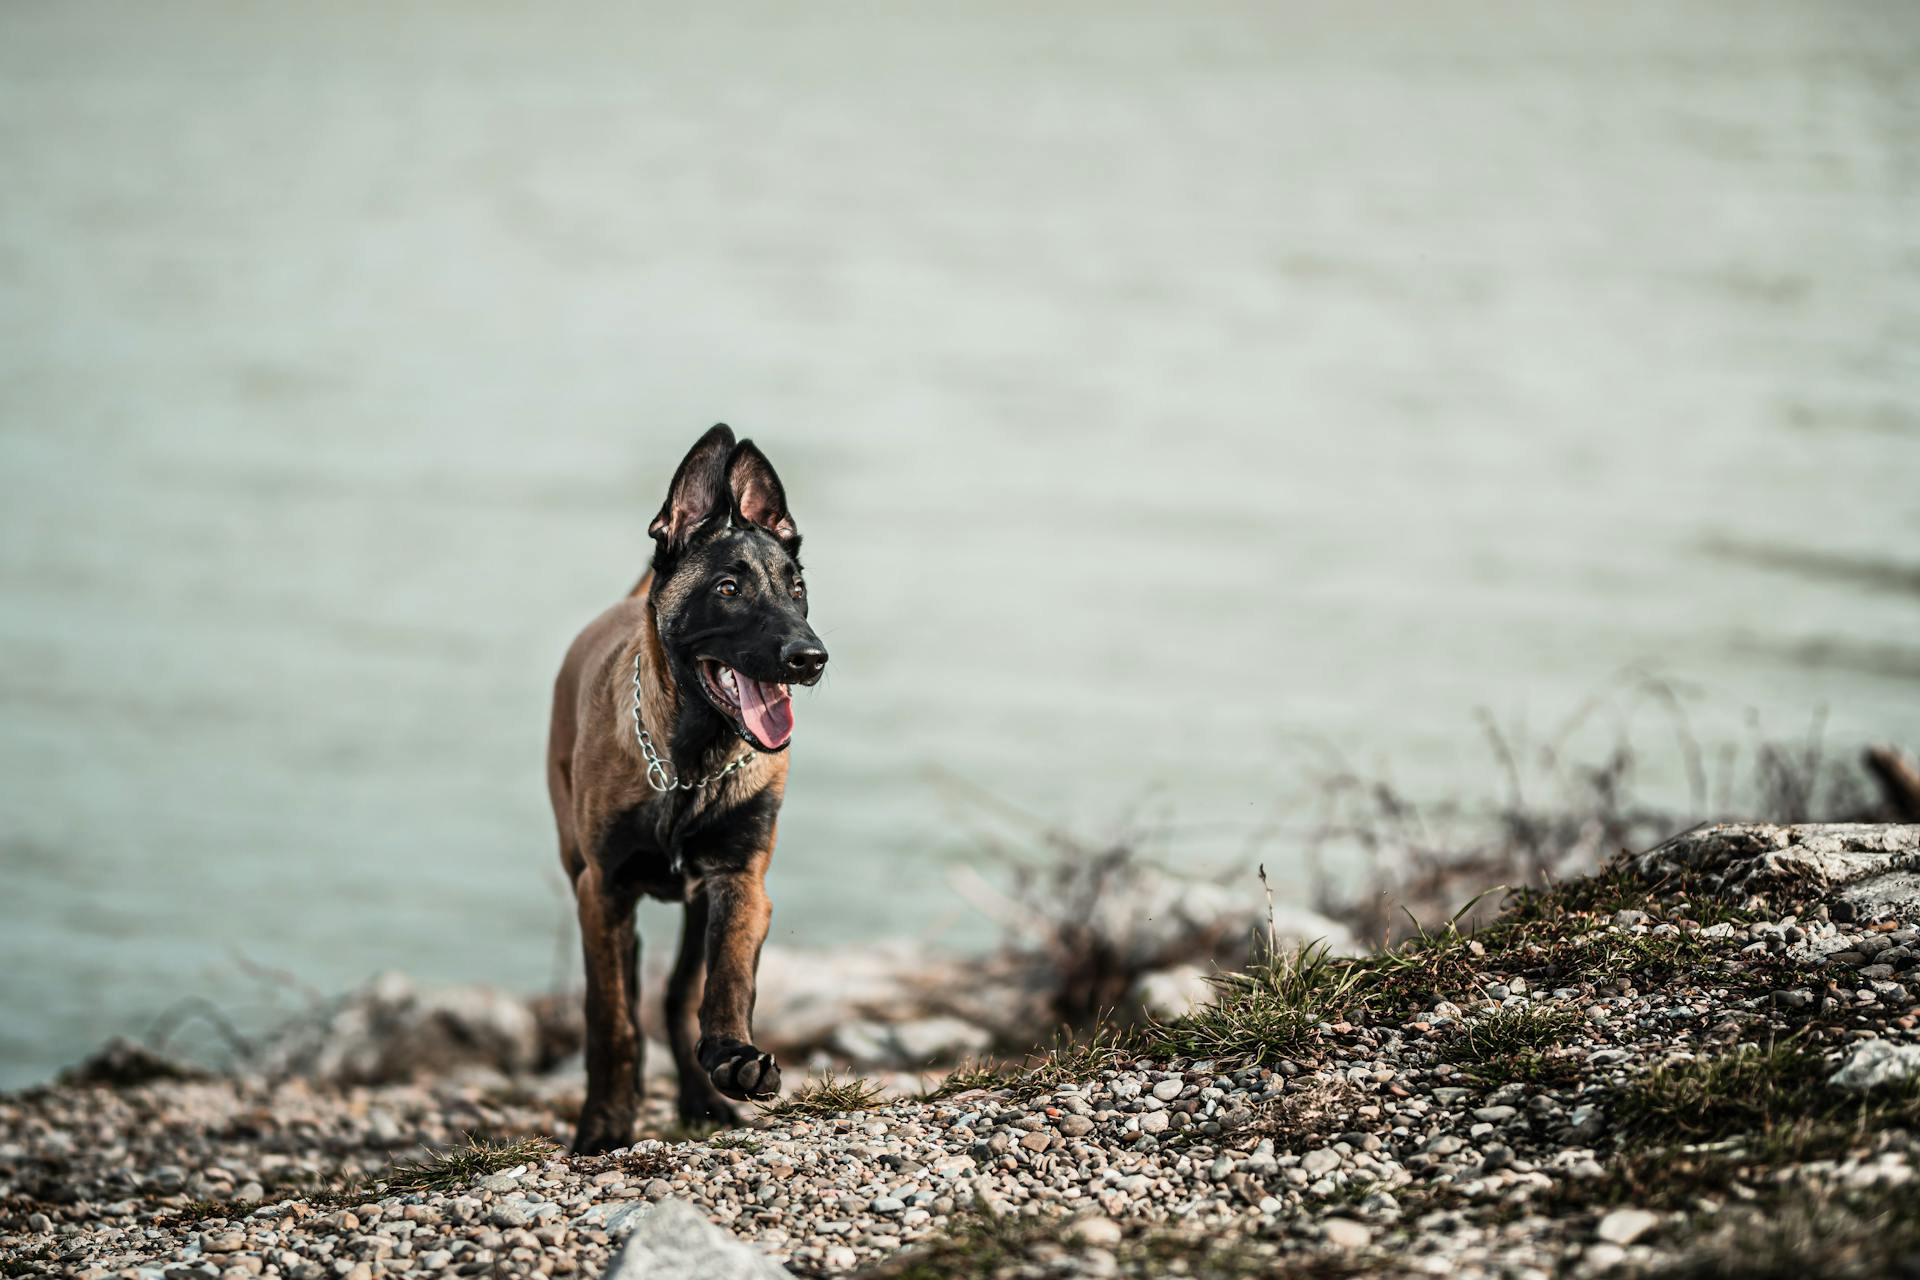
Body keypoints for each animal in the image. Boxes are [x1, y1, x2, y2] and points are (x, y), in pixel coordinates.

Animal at [552, 426, 829, 1159]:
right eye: (729, 588)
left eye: (797, 589)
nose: (811, 659)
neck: (688, 763)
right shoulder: (603, 889)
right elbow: (612, 1020)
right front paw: (604, 1124)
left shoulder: (739, 881)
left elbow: (725, 980)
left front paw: (732, 1058)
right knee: (627, 985)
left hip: (696, 902)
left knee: (678, 995)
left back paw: (704, 1096)